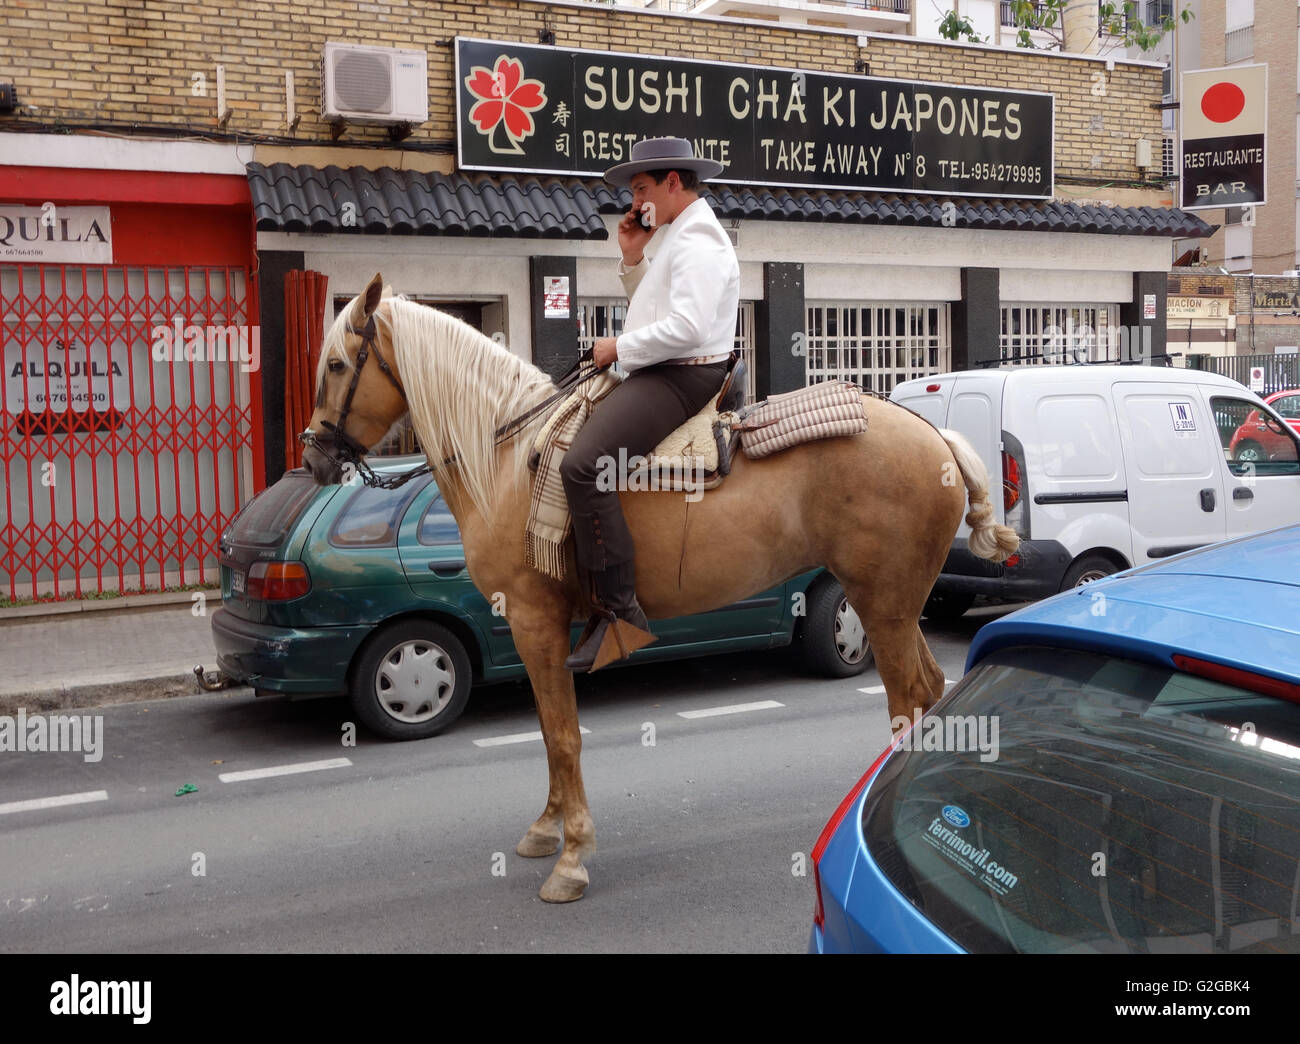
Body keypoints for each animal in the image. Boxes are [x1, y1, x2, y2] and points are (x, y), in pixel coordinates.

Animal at [301, 273, 1013, 904]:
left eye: (336, 365)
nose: (312, 457)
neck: (505, 457)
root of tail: (936, 436)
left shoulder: (534, 621)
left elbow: (564, 734)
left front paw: (572, 857)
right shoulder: (534, 631)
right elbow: (549, 731)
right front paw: (547, 829)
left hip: (883, 606)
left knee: (909, 699)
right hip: (896, 608)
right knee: (932, 690)